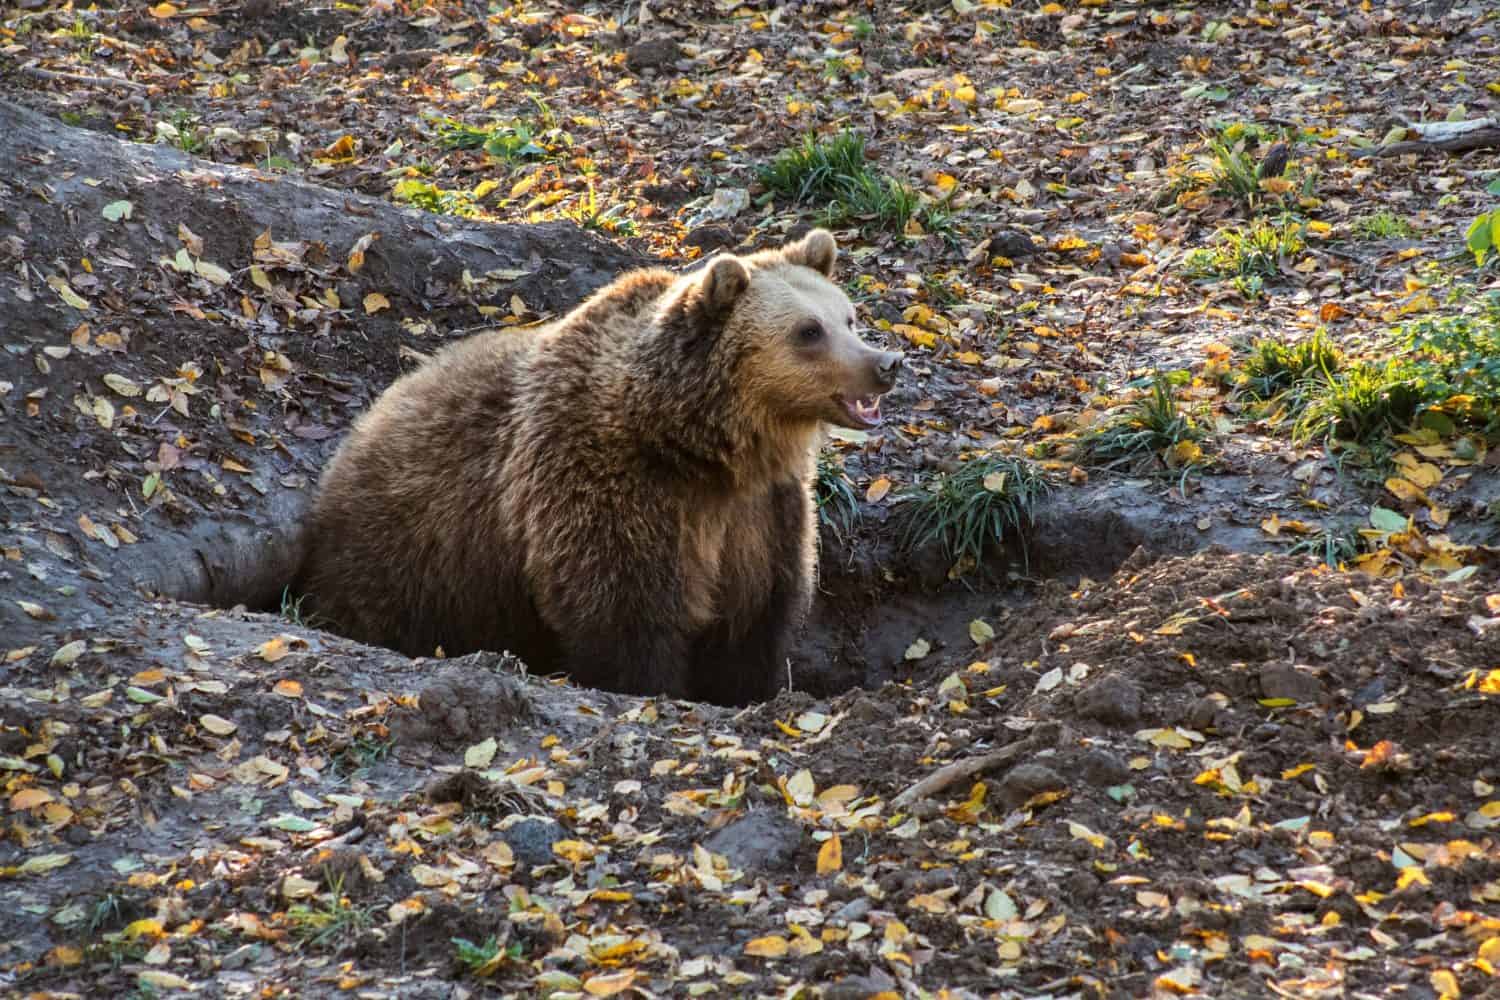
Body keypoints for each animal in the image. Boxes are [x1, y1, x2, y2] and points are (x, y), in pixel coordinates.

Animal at [295, 228, 901, 705]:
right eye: (808, 331)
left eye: (848, 317)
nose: (886, 362)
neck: (702, 448)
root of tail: (361, 429)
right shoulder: (613, 486)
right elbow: (623, 611)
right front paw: (651, 685)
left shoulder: (762, 511)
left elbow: (753, 617)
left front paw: (746, 689)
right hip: (415, 554)